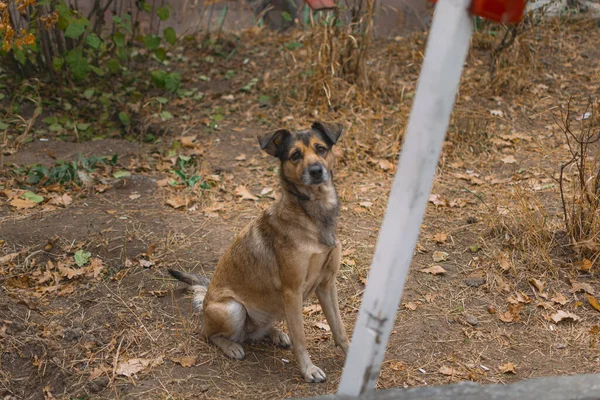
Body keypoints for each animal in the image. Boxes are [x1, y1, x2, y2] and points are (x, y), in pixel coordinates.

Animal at [166, 121, 350, 382]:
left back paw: (275, 334)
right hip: (233, 309)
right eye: (295, 155)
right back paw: (231, 346)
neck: (313, 215)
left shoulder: (327, 284)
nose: (316, 171)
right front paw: (308, 370)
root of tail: (206, 302)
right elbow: (301, 338)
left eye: (321, 148)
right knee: (208, 334)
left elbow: (339, 328)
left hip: (273, 310)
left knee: (255, 332)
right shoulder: (292, 291)